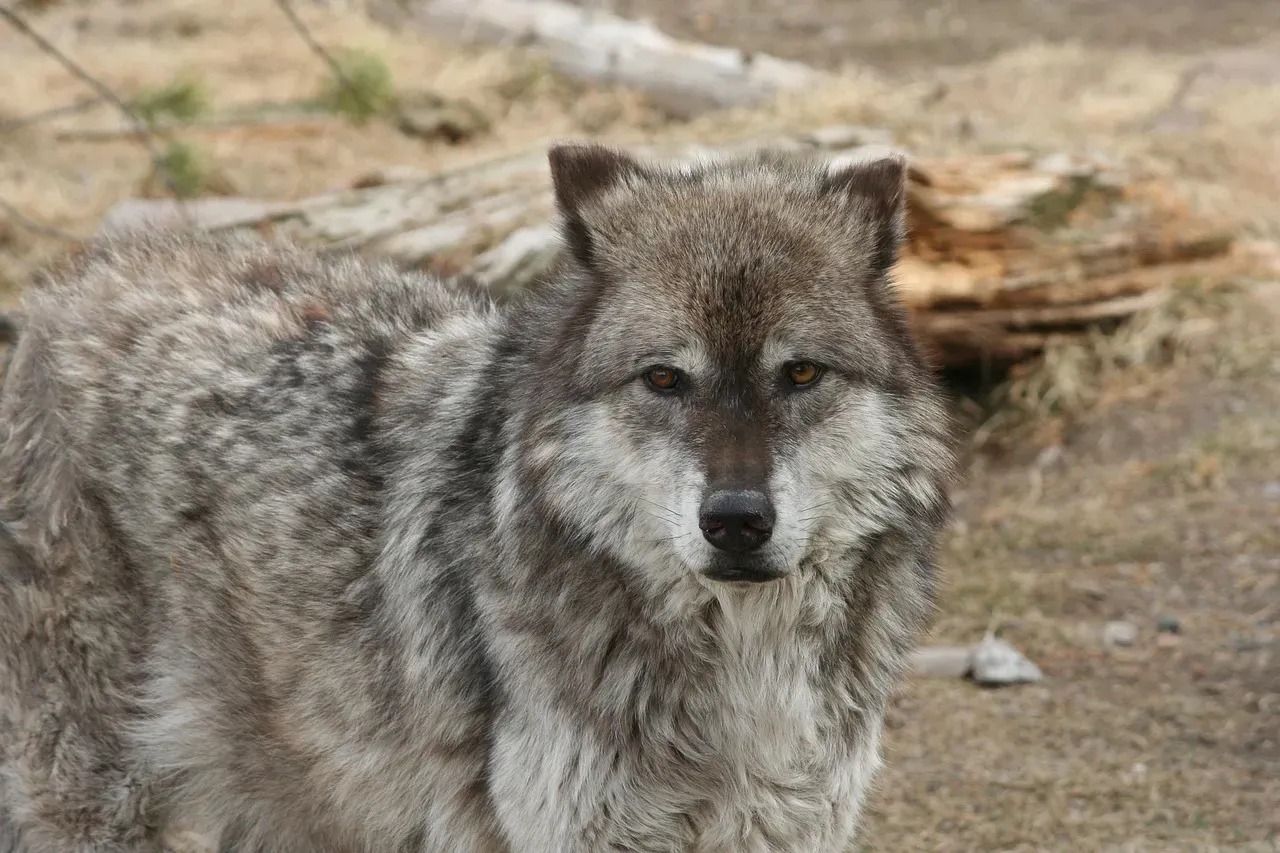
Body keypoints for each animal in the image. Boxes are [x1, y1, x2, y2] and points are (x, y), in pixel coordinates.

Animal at [0, 141, 955, 852]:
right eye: (663, 378)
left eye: (800, 373)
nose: (735, 521)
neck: (745, 671)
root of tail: (62, 288)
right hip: (101, 790)